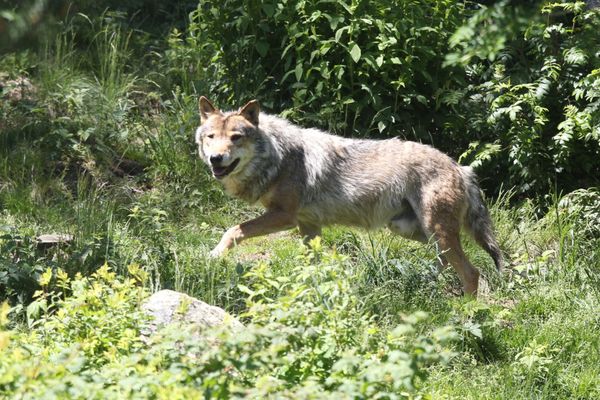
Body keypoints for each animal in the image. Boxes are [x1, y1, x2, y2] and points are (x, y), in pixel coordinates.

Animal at [196, 97, 502, 294]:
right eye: (211, 137)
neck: (277, 156)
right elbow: (311, 263)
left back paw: (465, 313)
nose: (216, 159)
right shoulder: (308, 225)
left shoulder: (283, 216)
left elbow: (233, 230)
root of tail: (461, 168)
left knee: (471, 273)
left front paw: (212, 256)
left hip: (434, 230)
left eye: (236, 137)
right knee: (446, 263)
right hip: (413, 230)